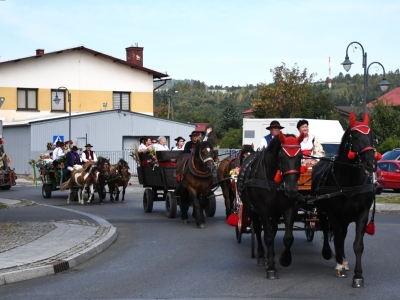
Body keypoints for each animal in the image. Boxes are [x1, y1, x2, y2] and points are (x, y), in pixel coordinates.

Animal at [238, 132, 304, 280]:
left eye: (300, 156)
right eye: (282, 156)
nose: (292, 189)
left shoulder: (287, 208)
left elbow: (288, 237)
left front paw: (285, 259)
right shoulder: (263, 209)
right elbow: (267, 236)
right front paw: (271, 268)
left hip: (274, 213)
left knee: (273, 231)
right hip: (252, 210)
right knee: (258, 230)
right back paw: (262, 257)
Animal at [312, 111, 378, 288]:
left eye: (372, 136)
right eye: (355, 137)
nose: (371, 164)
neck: (350, 181)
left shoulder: (362, 214)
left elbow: (357, 245)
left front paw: (358, 276)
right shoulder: (334, 215)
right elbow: (338, 239)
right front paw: (339, 266)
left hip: (346, 218)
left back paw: (343, 260)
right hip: (321, 210)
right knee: (328, 230)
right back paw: (330, 254)